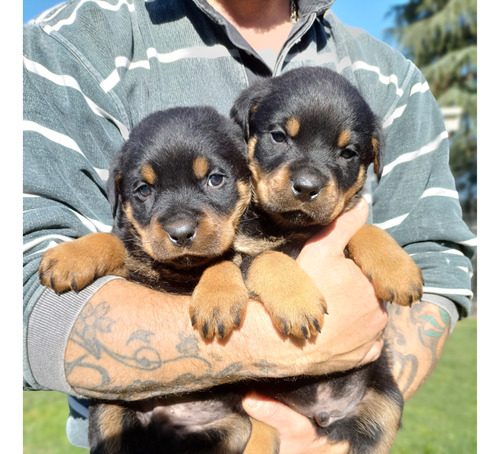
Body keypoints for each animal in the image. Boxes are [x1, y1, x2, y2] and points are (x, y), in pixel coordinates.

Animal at [229, 67, 424, 454]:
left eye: (348, 152)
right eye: (278, 136)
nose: (307, 186)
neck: (290, 227)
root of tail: (322, 412)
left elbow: (363, 229)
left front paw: (399, 271)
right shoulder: (239, 251)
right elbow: (267, 258)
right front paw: (298, 302)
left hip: (386, 400)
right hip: (256, 409)